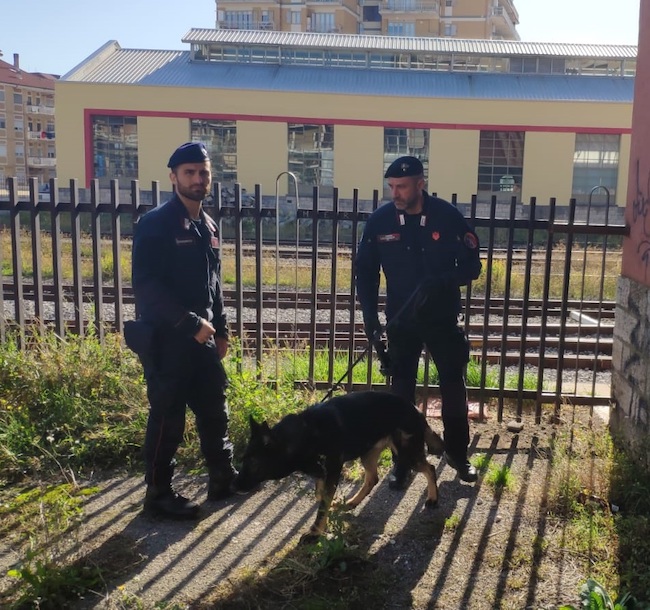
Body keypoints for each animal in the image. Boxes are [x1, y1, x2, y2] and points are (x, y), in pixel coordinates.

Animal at [235, 390, 442, 536]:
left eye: (252, 463)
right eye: (243, 460)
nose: (233, 486)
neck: (306, 433)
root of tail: (416, 410)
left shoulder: (333, 469)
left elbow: (322, 502)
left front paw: (315, 532)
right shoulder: (323, 472)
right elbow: (321, 496)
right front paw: (329, 512)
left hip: (407, 454)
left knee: (430, 468)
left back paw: (433, 498)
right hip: (367, 454)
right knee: (372, 479)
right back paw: (351, 503)